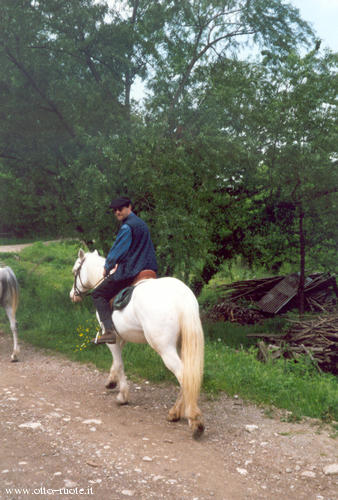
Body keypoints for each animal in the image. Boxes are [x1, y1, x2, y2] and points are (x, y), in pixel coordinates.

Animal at [70, 250, 205, 438]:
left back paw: (194, 420)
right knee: (188, 375)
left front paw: (122, 396)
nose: (72, 295)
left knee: (183, 375)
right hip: (181, 346)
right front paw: (111, 381)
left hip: (165, 349)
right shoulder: (122, 337)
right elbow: (116, 363)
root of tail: (182, 298)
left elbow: (119, 363)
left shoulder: (112, 339)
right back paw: (175, 412)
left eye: (75, 271)